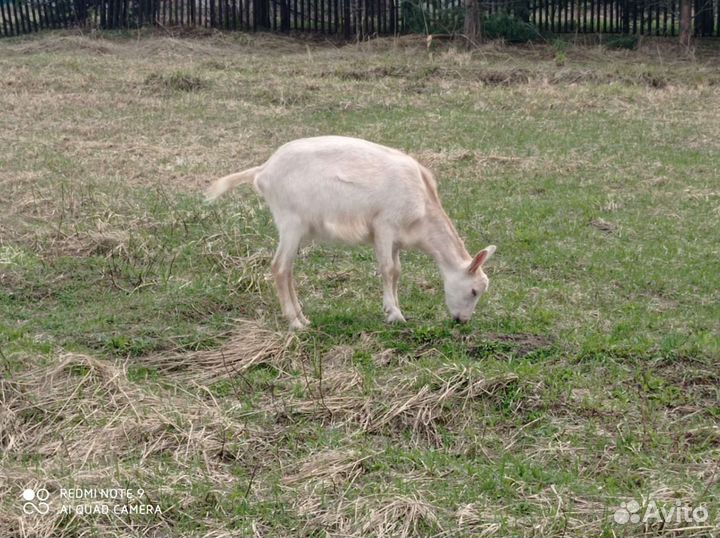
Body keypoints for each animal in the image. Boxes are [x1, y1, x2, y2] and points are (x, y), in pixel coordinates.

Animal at [206, 136, 495, 330]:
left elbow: (397, 272)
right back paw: (295, 323)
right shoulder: (384, 225)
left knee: (287, 270)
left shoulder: (395, 238)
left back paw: (303, 317)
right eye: (474, 291)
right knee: (279, 267)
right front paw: (395, 314)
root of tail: (263, 170)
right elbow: (388, 269)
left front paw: (394, 309)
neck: (422, 208)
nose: (462, 320)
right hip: (291, 221)